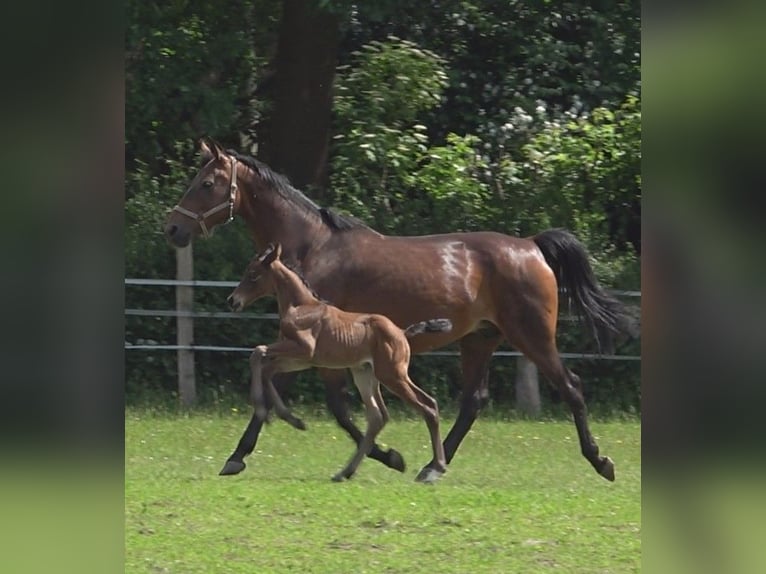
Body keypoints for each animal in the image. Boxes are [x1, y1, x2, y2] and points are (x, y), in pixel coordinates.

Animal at [231, 243, 452, 486]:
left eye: (253, 274)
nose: (232, 301)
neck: (301, 306)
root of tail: (402, 332)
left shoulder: (303, 349)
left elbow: (258, 352)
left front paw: (264, 408)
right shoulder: (301, 360)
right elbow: (266, 367)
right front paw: (292, 419)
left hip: (393, 375)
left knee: (427, 406)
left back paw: (434, 469)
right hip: (365, 374)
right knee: (378, 416)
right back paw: (345, 472)